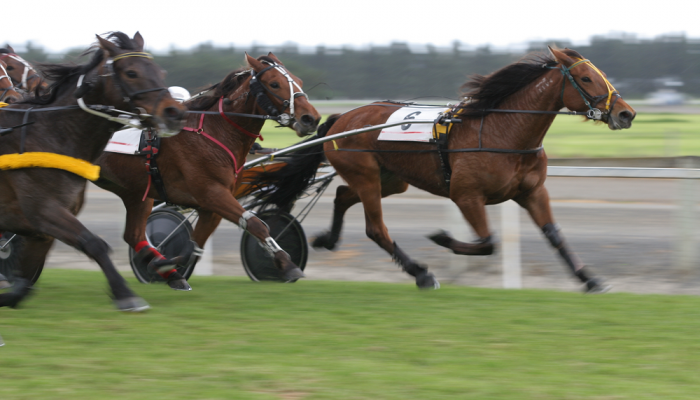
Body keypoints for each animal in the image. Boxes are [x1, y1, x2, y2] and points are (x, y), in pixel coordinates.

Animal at [0, 32, 187, 310]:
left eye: (160, 71)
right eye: (131, 73)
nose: (174, 112)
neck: (48, 134)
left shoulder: (40, 228)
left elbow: (23, 282)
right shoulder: (44, 210)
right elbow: (94, 243)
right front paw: (126, 294)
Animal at [94, 53, 322, 290]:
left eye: (299, 81)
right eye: (274, 84)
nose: (311, 118)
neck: (213, 131)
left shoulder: (211, 203)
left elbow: (195, 244)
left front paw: (167, 266)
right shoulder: (212, 192)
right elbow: (256, 224)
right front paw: (287, 263)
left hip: (137, 193)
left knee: (134, 235)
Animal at [250, 47, 636, 292]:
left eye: (599, 75)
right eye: (586, 78)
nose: (626, 113)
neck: (503, 132)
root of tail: (343, 118)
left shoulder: (532, 192)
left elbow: (554, 235)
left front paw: (590, 280)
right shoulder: (466, 195)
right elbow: (487, 241)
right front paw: (442, 238)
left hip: (391, 178)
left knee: (345, 195)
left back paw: (327, 239)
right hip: (366, 174)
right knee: (376, 228)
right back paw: (421, 273)